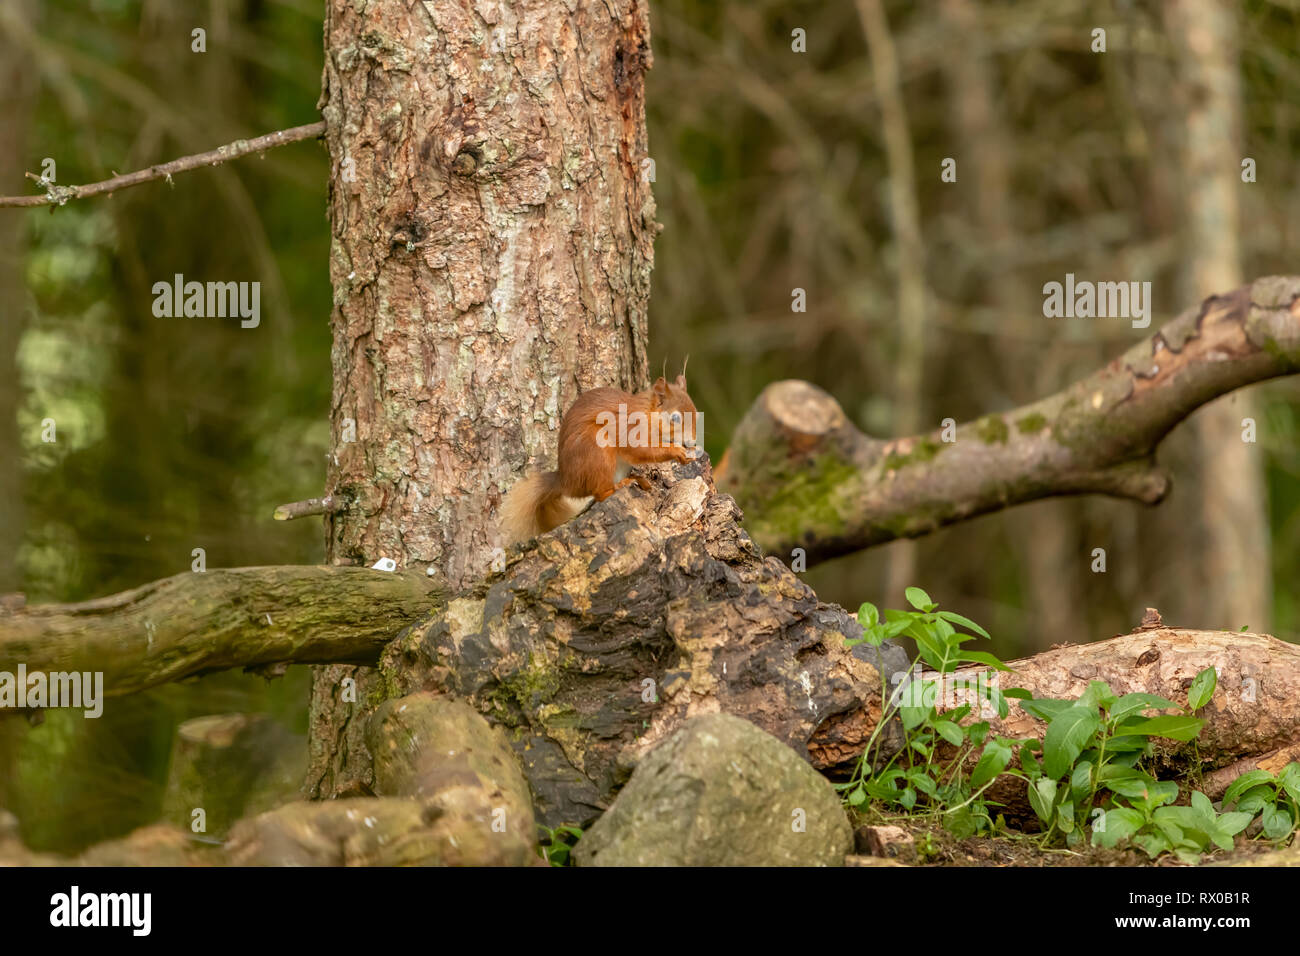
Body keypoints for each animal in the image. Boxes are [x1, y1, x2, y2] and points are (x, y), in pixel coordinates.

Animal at [499, 377, 702, 548]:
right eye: (675, 418)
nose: (692, 442)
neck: (647, 414)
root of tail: (565, 482)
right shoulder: (630, 429)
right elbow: (641, 450)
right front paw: (676, 451)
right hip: (597, 451)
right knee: (599, 494)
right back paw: (622, 485)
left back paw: (638, 480)